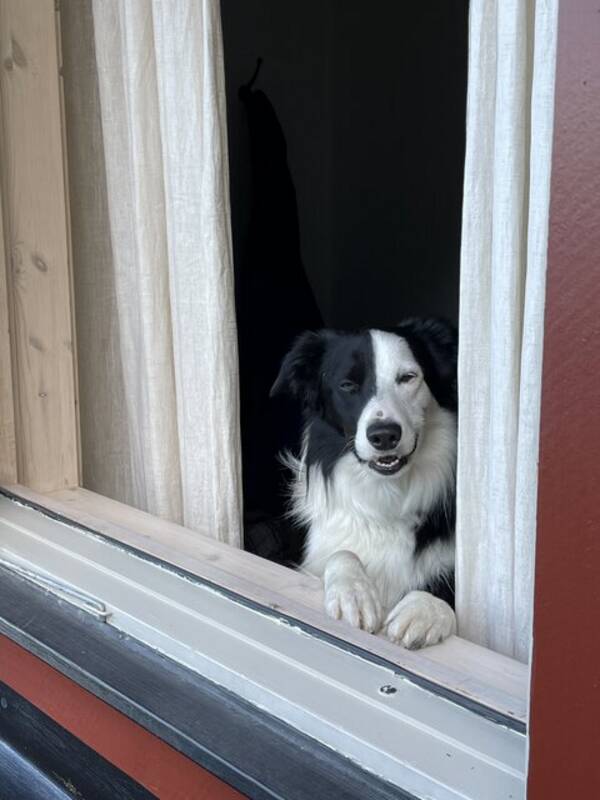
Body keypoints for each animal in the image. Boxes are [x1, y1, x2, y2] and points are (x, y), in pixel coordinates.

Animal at [272, 316, 460, 648]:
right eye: (347, 386)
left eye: (408, 378)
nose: (384, 435)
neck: (385, 494)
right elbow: (341, 552)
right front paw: (355, 594)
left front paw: (424, 608)